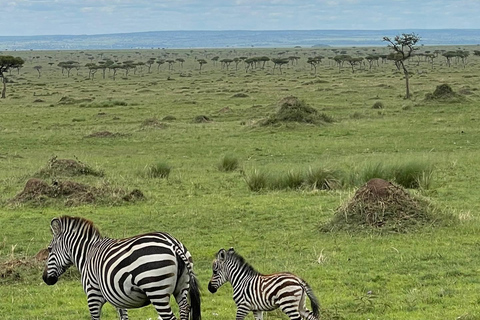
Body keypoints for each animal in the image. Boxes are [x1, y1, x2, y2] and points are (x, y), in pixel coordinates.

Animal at [42, 215, 202, 320]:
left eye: (49, 249)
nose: (45, 279)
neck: (88, 253)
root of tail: (173, 244)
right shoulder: (118, 297)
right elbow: (123, 317)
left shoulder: (93, 295)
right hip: (182, 288)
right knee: (184, 309)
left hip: (156, 290)